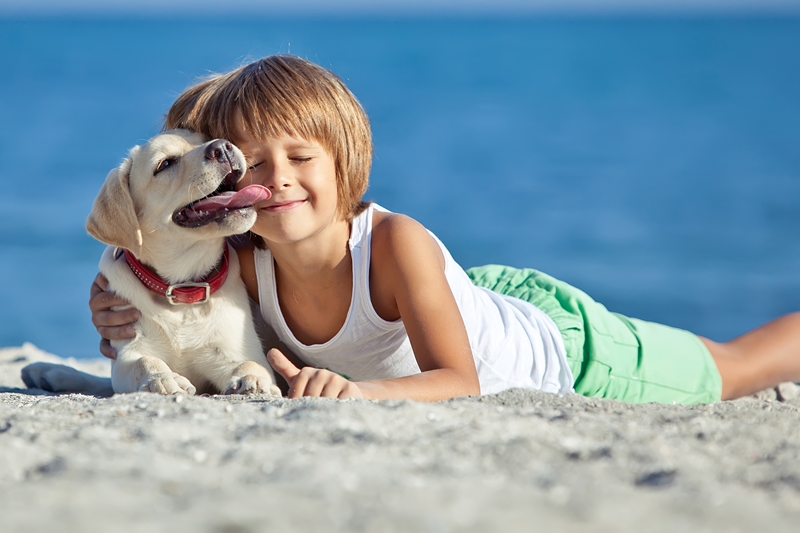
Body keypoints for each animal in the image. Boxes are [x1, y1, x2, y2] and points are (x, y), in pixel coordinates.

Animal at [27, 129, 282, 394]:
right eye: (165, 164)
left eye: (205, 139)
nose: (222, 147)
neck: (182, 291)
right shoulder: (128, 353)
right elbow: (145, 361)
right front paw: (161, 377)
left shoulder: (235, 350)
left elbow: (251, 363)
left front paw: (254, 379)